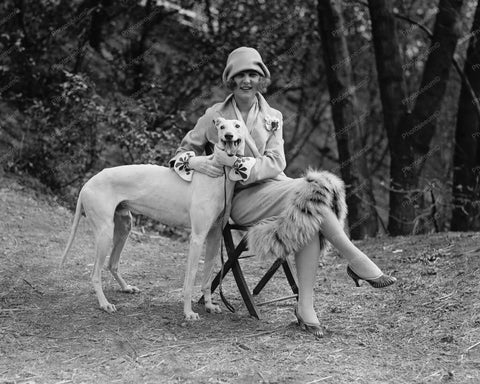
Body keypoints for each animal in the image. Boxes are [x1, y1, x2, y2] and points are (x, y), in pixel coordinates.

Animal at [60, 118, 251, 320]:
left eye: (237, 125)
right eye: (221, 127)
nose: (228, 136)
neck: (218, 174)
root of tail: (87, 184)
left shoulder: (215, 235)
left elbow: (207, 278)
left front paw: (208, 305)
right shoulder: (198, 238)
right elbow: (190, 279)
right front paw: (188, 312)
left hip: (124, 227)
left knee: (112, 264)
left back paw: (126, 288)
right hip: (104, 233)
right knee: (95, 274)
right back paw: (104, 304)